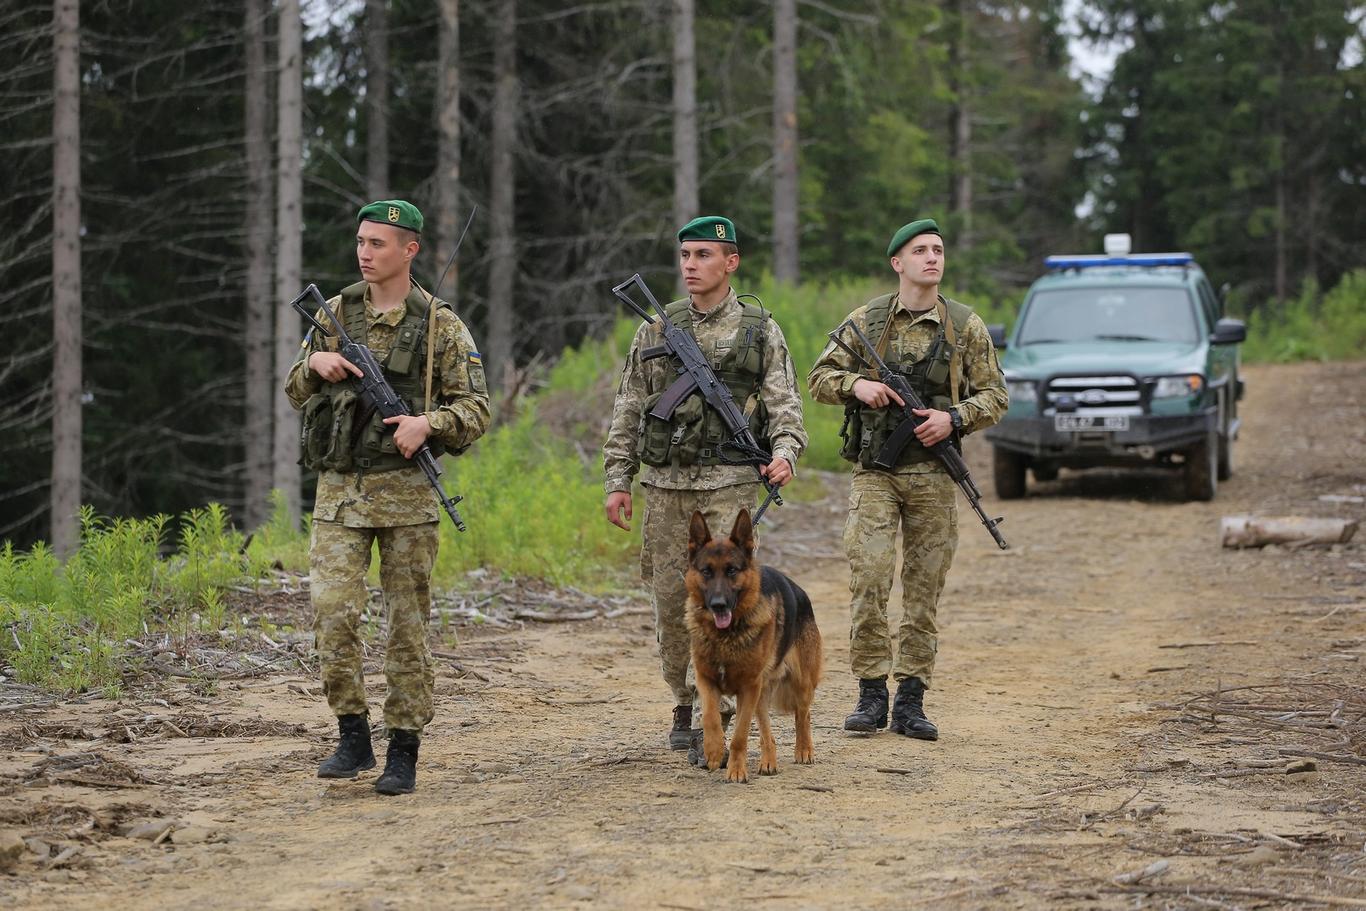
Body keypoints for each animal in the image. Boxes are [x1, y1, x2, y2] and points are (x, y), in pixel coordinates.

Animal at [683, 505, 819, 786]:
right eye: (706, 571)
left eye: (732, 570)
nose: (719, 605)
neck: (725, 636)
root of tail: (800, 592)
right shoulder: (706, 679)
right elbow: (710, 716)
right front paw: (713, 750)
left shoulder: (748, 688)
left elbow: (739, 736)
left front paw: (736, 770)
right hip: (761, 696)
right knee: (768, 732)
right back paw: (768, 761)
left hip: (800, 683)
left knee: (804, 714)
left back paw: (804, 750)